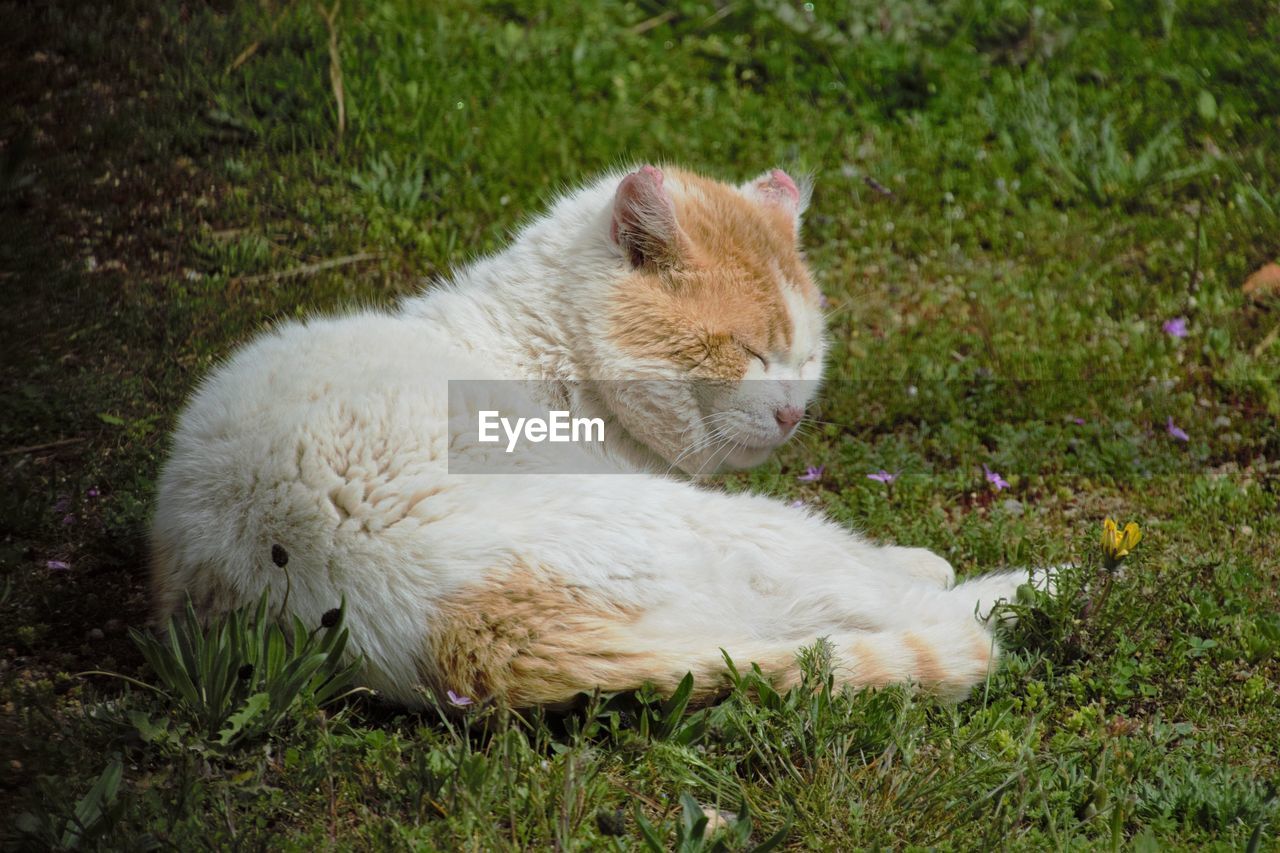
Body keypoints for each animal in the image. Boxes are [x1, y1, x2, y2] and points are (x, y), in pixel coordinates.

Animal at [149, 162, 1039, 706]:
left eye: (807, 355)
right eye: (749, 351)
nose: (792, 411)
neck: (544, 352)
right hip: (740, 530)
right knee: (909, 604)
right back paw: (1036, 585)